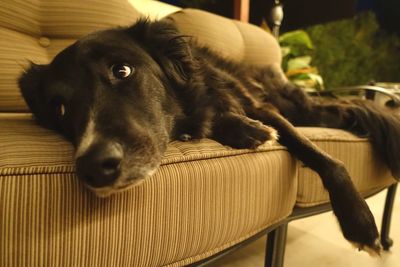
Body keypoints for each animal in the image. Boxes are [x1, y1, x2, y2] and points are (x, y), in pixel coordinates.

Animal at [18, 18, 400, 255]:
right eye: (60, 108)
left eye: (121, 70)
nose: (94, 167)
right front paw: (243, 129)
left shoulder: (261, 106)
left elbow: (321, 154)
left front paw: (360, 222)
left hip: (298, 107)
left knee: (341, 111)